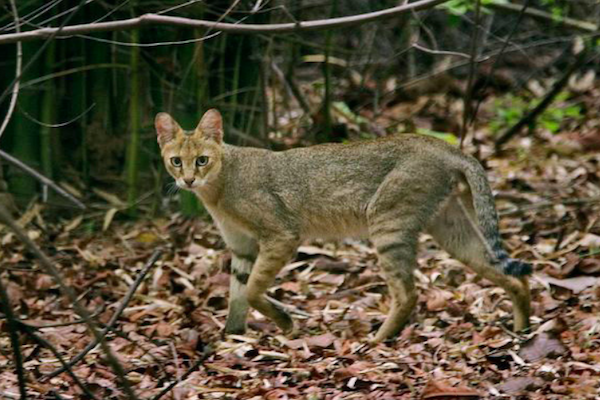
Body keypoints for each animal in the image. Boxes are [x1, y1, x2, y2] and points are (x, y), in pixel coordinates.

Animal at [155, 109, 528, 344]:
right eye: (176, 161)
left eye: (202, 160)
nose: (188, 180)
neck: (217, 189)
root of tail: (444, 144)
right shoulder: (241, 246)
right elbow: (237, 295)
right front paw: (231, 338)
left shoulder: (281, 235)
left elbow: (252, 290)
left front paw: (286, 324)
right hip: (450, 229)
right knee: (512, 275)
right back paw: (523, 327)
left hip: (387, 223)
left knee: (408, 293)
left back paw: (378, 340)